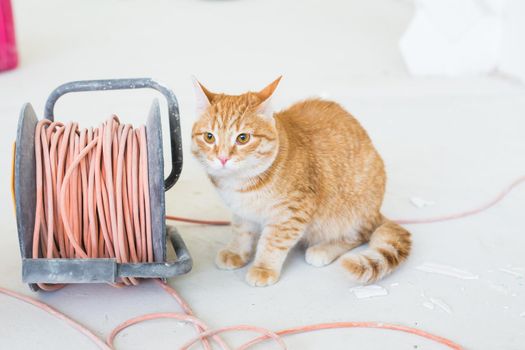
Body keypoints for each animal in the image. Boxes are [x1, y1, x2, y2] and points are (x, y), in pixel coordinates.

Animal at [190, 78, 412, 288]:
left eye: (243, 138)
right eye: (209, 137)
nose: (222, 158)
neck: (240, 186)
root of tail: (376, 211)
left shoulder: (291, 213)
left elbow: (272, 243)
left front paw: (263, 268)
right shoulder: (241, 211)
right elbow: (241, 231)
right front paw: (237, 252)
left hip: (348, 213)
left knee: (359, 235)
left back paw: (323, 250)